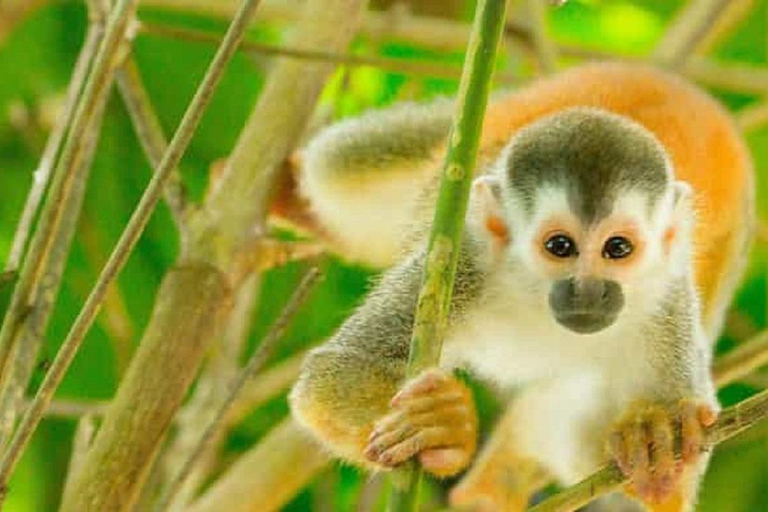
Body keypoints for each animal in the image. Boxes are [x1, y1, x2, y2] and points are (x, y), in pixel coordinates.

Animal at [285, 62, 754, 511]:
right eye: (559, 246)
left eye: (618, 248)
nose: (587, 294)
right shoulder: (462, 261)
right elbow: (334, 375)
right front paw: (443, 431)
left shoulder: (668, 299)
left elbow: (657, 480)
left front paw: (653, 448)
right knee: (337, 166)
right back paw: (293, 195)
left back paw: (495, 483)